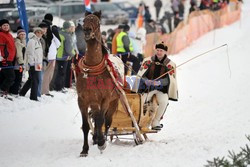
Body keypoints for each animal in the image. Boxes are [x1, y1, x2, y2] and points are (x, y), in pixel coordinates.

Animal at [75, 11, 119, 157]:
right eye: (84, 20)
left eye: (97, 22)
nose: (87, 30)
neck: (92, 70)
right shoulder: (82, 99)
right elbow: (86, 125)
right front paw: (84, 149)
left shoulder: (105, 99)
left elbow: (101, 121)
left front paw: (101, 142)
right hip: (93, 102)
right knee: (95, 116)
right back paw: (95, 138)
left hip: (114, 101)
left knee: (107, 121)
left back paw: (102, 138)